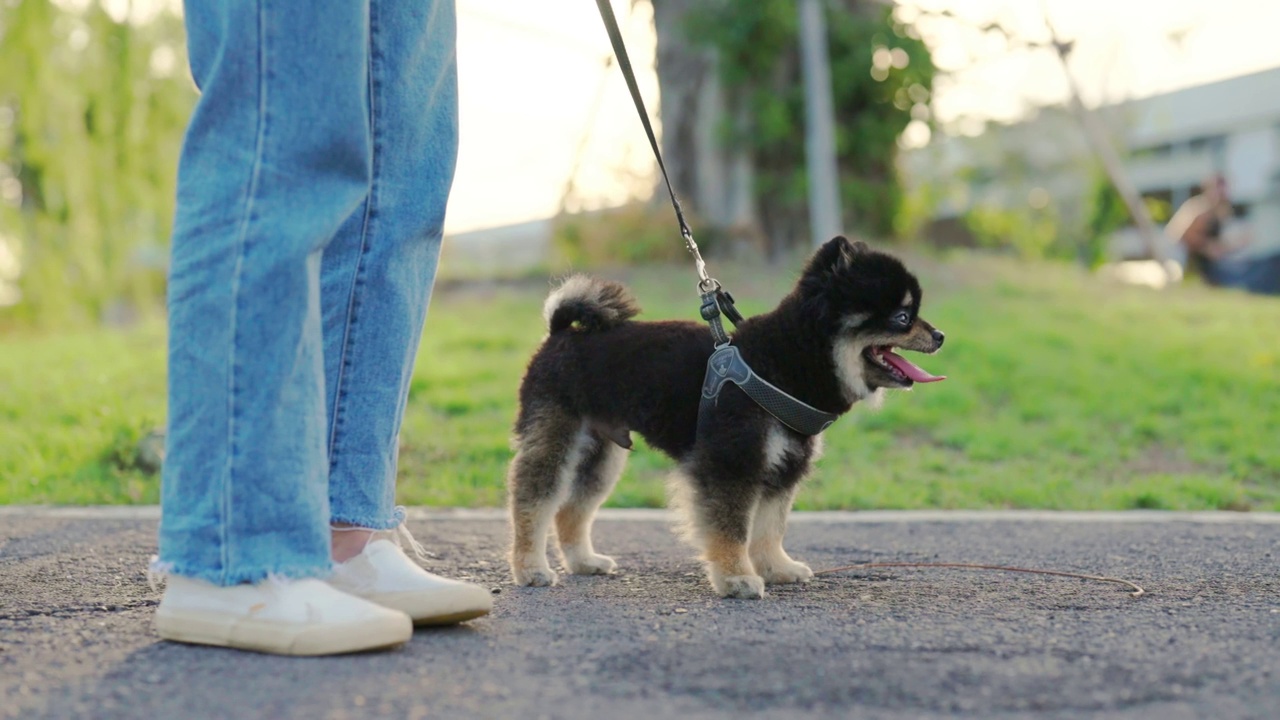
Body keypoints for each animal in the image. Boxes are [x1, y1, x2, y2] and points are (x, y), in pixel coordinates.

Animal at [506, 235, 942, 594]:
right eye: (903, 317)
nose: (940, 336)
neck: (784, 361)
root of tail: (560, 330)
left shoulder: (782, 467)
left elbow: (770, 528)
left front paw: (777, 567)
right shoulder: (732, 461)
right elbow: (731, 528)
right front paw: (736, 577)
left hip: (600, 454)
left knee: (572, 509)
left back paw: (583, 561)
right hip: (559, 437)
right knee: (532, 501)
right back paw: (530, 568)